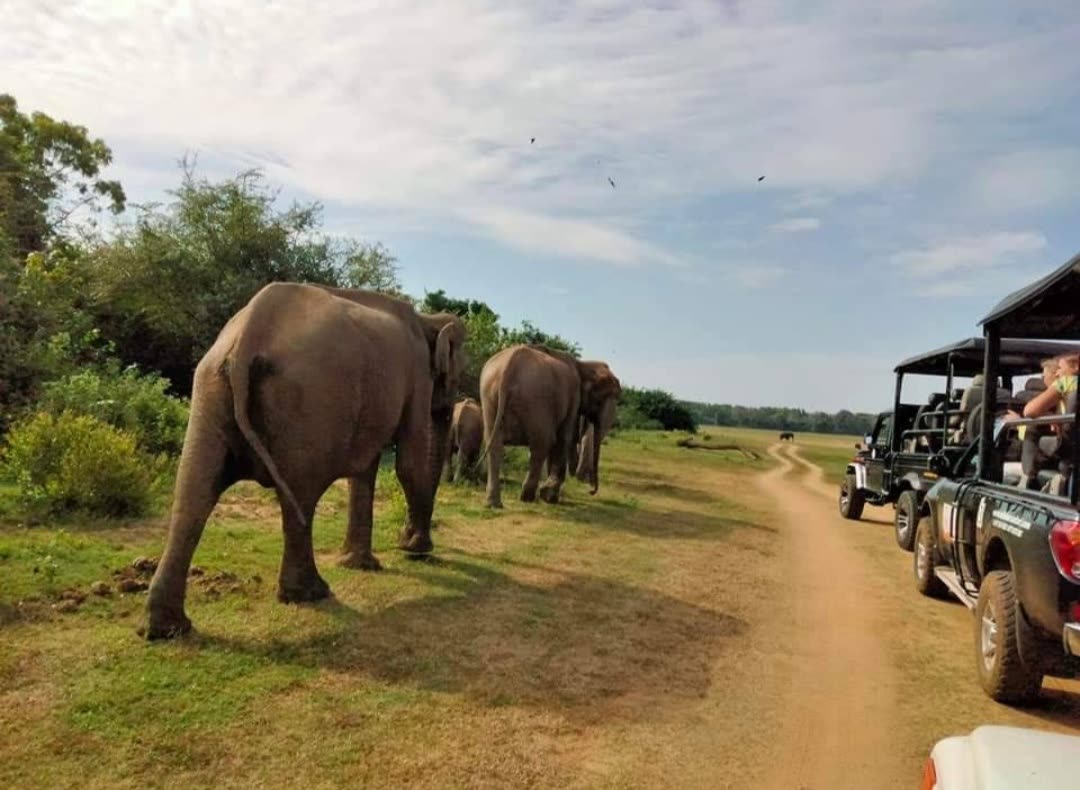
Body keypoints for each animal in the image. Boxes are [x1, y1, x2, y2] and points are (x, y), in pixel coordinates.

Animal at [144, 282, 466, 640]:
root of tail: (249, 331)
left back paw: (167, 629)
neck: (427, 318)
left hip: (211, 391)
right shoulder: (418, 378)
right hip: (306, 404)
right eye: (453, 377)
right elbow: (408, 463)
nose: (408, 541)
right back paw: (311, 593)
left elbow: (364, 470)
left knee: (194, 492)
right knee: (301, 495)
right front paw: (415, 549)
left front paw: (367, 563)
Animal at [479, 344, 621, 508]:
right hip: (537, 398)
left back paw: (494, 504)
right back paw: (527, 497)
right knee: (541, 445)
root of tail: (509, 366)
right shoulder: (573, 396)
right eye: (599, 401)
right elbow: (564, 438)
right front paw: (549, 497)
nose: (591, 491)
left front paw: (548, 495)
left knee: (494, 445)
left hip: (489, 395)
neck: (583, 365)